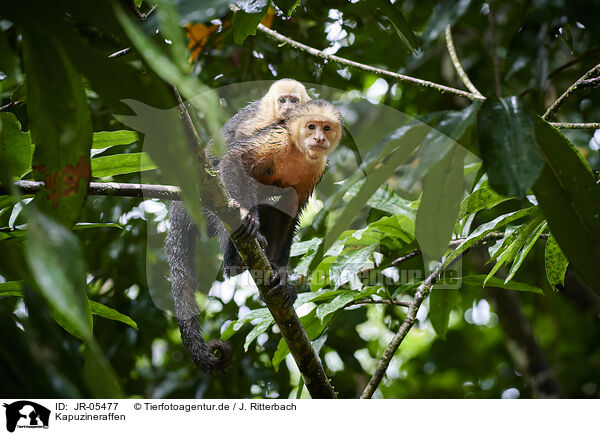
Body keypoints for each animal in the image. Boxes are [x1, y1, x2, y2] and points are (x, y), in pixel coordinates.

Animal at [166, 99, 342, 374]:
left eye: (326, 128)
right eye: (311, 126)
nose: (319, 138)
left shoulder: (316, 167)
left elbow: (289, 210)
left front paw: (281, 277)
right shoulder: (278, 138)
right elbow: (233, 160)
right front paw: (248, 216)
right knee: (223, 194)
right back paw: (236, 259)